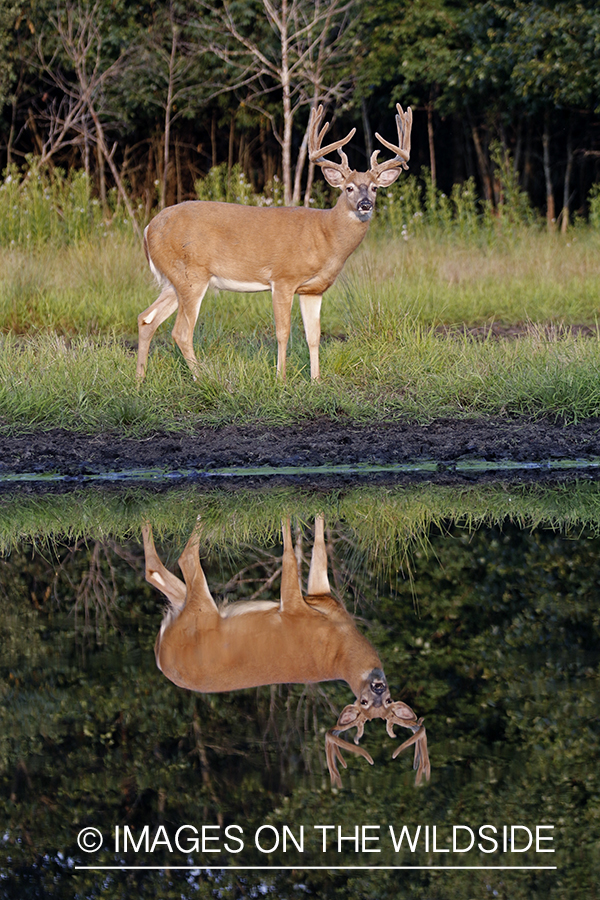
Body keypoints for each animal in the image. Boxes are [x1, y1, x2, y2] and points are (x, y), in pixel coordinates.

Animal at [136, 103, 412, 382]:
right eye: (349, 188)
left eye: (375, 188)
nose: (365, 205)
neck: (325, 235)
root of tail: (148, 229)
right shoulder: (283, 278)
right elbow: (283, 332)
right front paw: (281, 378)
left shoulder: (313, 290)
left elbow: (314, 336)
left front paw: (316, 380)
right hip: (191, 275)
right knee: (181, 331)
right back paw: (204, 378)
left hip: (174, 280)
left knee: (146, 319)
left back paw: (140, 379)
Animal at [143, 512, 428, 788]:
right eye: (366, 702)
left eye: (385, 702)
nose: (378, 689)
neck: (340, 649)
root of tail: (161, 657)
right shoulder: (310, 601)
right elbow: (308, 553)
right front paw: (305, 516)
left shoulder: (306, 603)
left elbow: (302, 556)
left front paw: (298, 518)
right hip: (196, 610)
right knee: (172, 564)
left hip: (196, 612)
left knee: (168, 566)